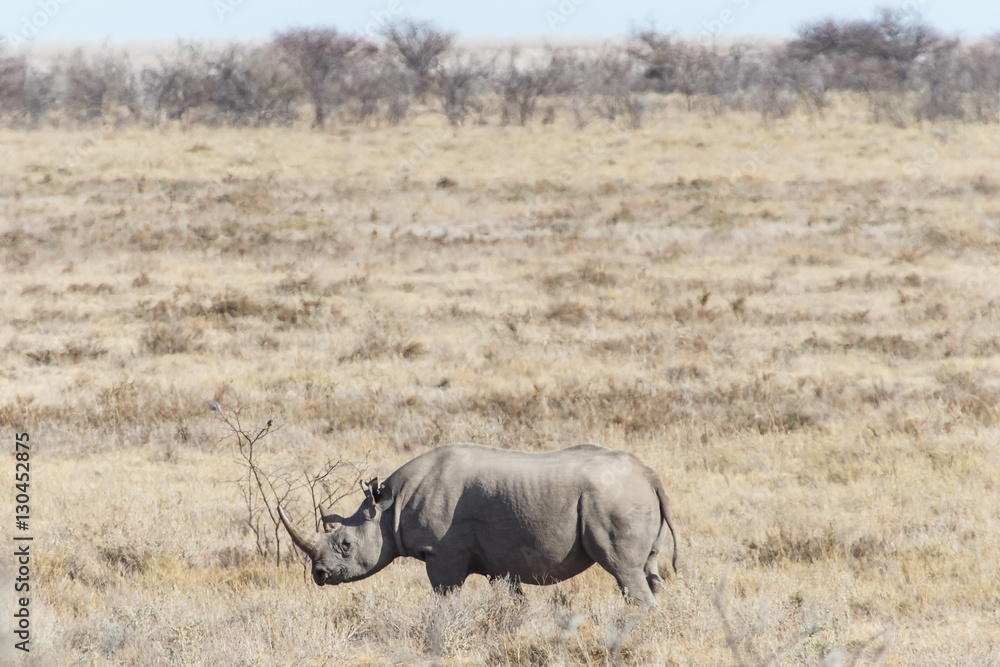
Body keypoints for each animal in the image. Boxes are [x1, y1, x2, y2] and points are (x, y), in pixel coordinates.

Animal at [278, 443, 678, 605]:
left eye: (345, 545)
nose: (319, 575)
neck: (389, 506)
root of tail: (649, 474)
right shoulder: (501, 561)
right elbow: (512, 601)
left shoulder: (443, 553)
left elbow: (444, 596)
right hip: (626, 496)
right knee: (647, 569)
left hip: (612, 499)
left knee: (623, 570)